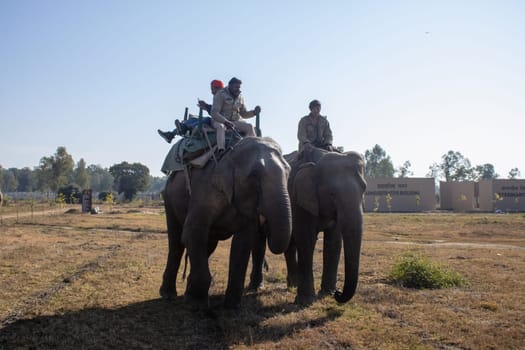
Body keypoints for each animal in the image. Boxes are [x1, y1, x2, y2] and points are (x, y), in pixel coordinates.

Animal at [158, 137, 292, 308]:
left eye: (288, 172)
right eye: (254, 176)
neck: (231, 154)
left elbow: (242, 243)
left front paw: (231, 307)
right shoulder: (204, 193)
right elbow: (192, 233)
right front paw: (197, 305)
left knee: (207, 246)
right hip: (168, 197)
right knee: (176, 243)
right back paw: (168, 295)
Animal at [249, 146, 364, 304]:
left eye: (364, 190)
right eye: (332, 194)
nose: (338, 292)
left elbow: (333, 242)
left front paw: (327, 293)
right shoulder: (299, 199)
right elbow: (306, 239)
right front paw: (305, 301)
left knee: (289, 245)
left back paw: (292, 284)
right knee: (259, 242)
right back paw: (256, 288)